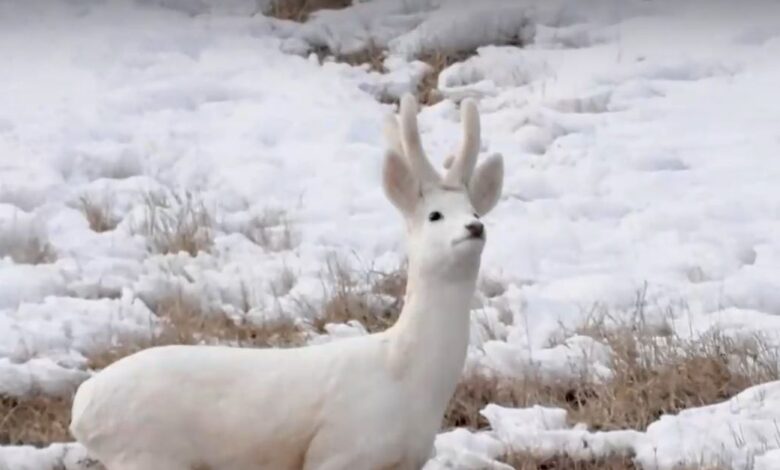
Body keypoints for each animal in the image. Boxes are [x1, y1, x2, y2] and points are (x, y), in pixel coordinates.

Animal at [71, 93, 506, 468]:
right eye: (435, 215)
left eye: (472, 209)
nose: (475, 227)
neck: (405, 374)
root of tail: (82, 409)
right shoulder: (337, 453)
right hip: (148, 452)